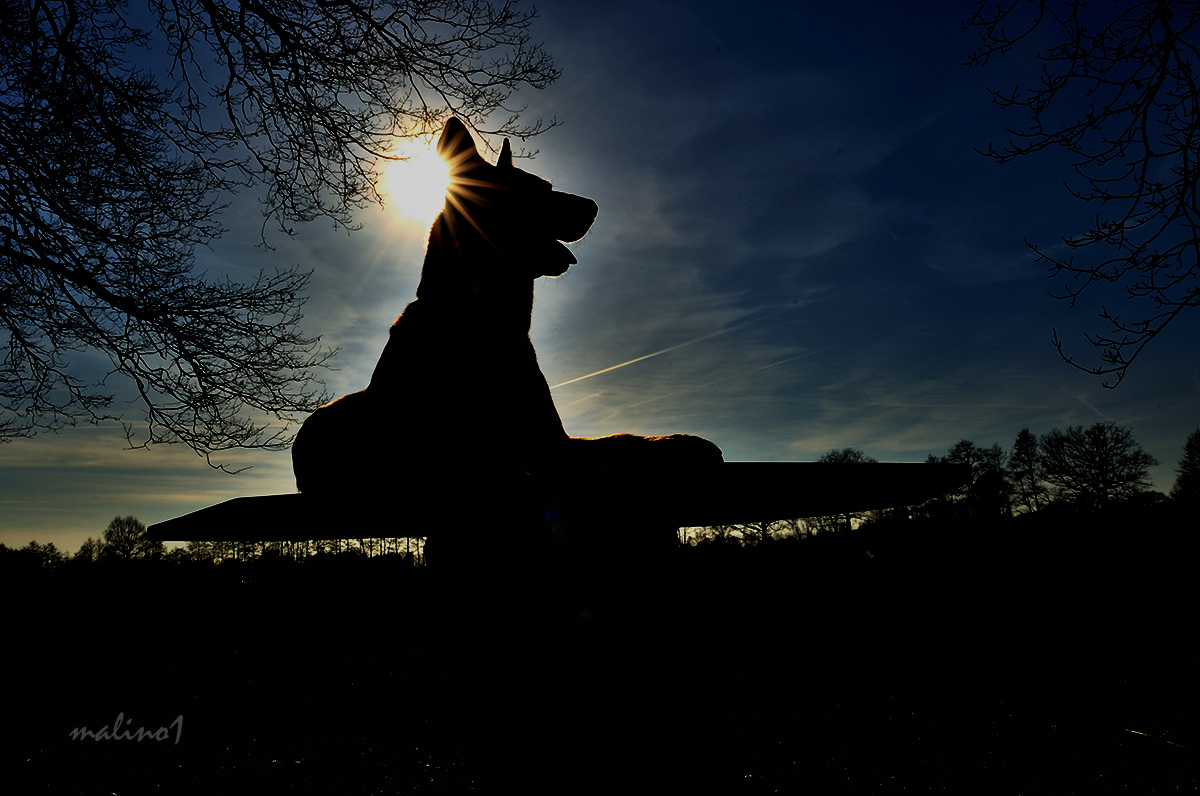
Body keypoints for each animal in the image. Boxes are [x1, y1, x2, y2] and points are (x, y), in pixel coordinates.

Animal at [292, 118, 720, 537]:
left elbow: (619, 441)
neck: (484, 319)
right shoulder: (452, 460)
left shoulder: (555, 439)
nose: (595, 206)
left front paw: (676, 443)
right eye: (539, 191)